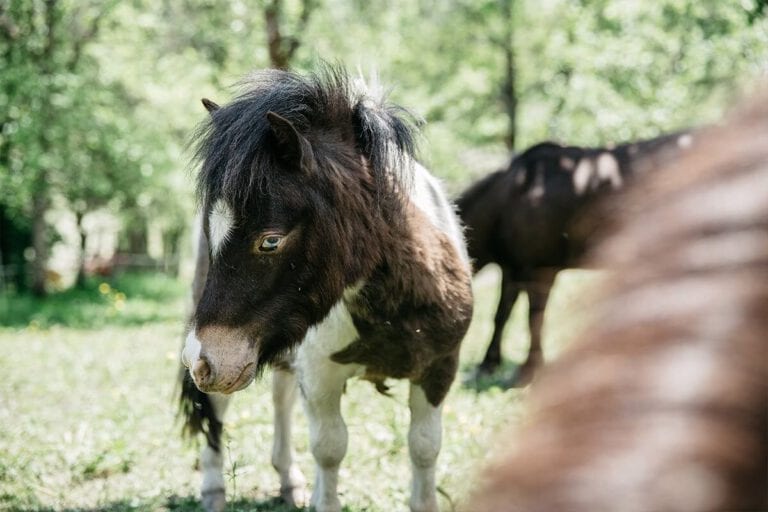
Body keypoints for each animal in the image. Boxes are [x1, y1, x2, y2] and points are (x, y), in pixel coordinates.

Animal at [460, 130, 692, 386]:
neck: (510, 197)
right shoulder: (513, 268)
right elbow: (502, 315)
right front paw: (487, 366)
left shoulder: (541, 269)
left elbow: (535, 319)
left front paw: (529, 372)